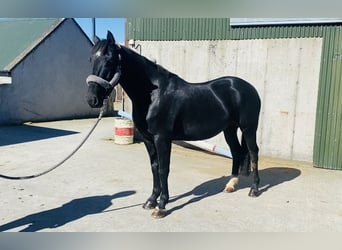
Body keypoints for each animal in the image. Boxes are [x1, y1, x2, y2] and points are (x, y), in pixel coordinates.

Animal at [87, 31, 260, 219]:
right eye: (90, 59)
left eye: (109, 60)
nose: (92, 99)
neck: (153, 95)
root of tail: (248, 87)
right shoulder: (148, 139)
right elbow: (154, 168)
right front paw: (151, 201)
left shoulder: (162, 138)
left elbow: (163, 169)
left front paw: (161, 206)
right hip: (229, 128)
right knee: (236, 151)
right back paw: (231, 184)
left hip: (249, 128)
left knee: (253, 152)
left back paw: (254, 189)